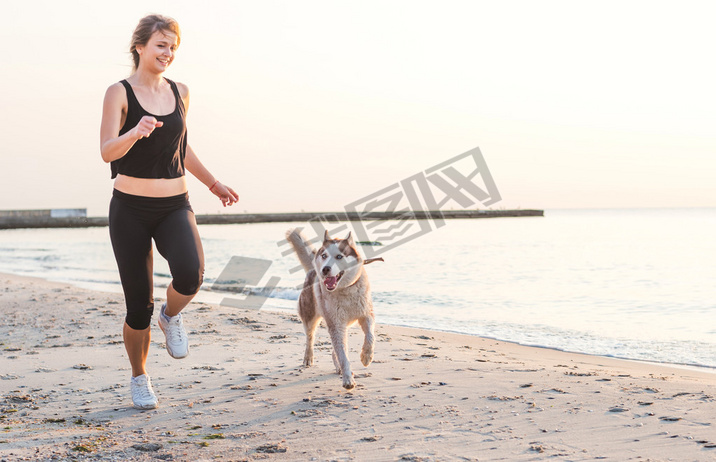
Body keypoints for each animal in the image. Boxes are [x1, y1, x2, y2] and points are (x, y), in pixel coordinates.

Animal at [286, 229, 374, 388]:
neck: (346, 289)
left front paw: (366, 356)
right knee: (310, 338)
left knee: (336, 348)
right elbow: (343, 355)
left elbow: (370, 336)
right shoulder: (336, 323)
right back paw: (308, 358)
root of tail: (312, 269)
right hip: (310, 317)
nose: (325, 269)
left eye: (339, 256)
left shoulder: (366, 314)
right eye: (324, 255)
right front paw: (348, 378)